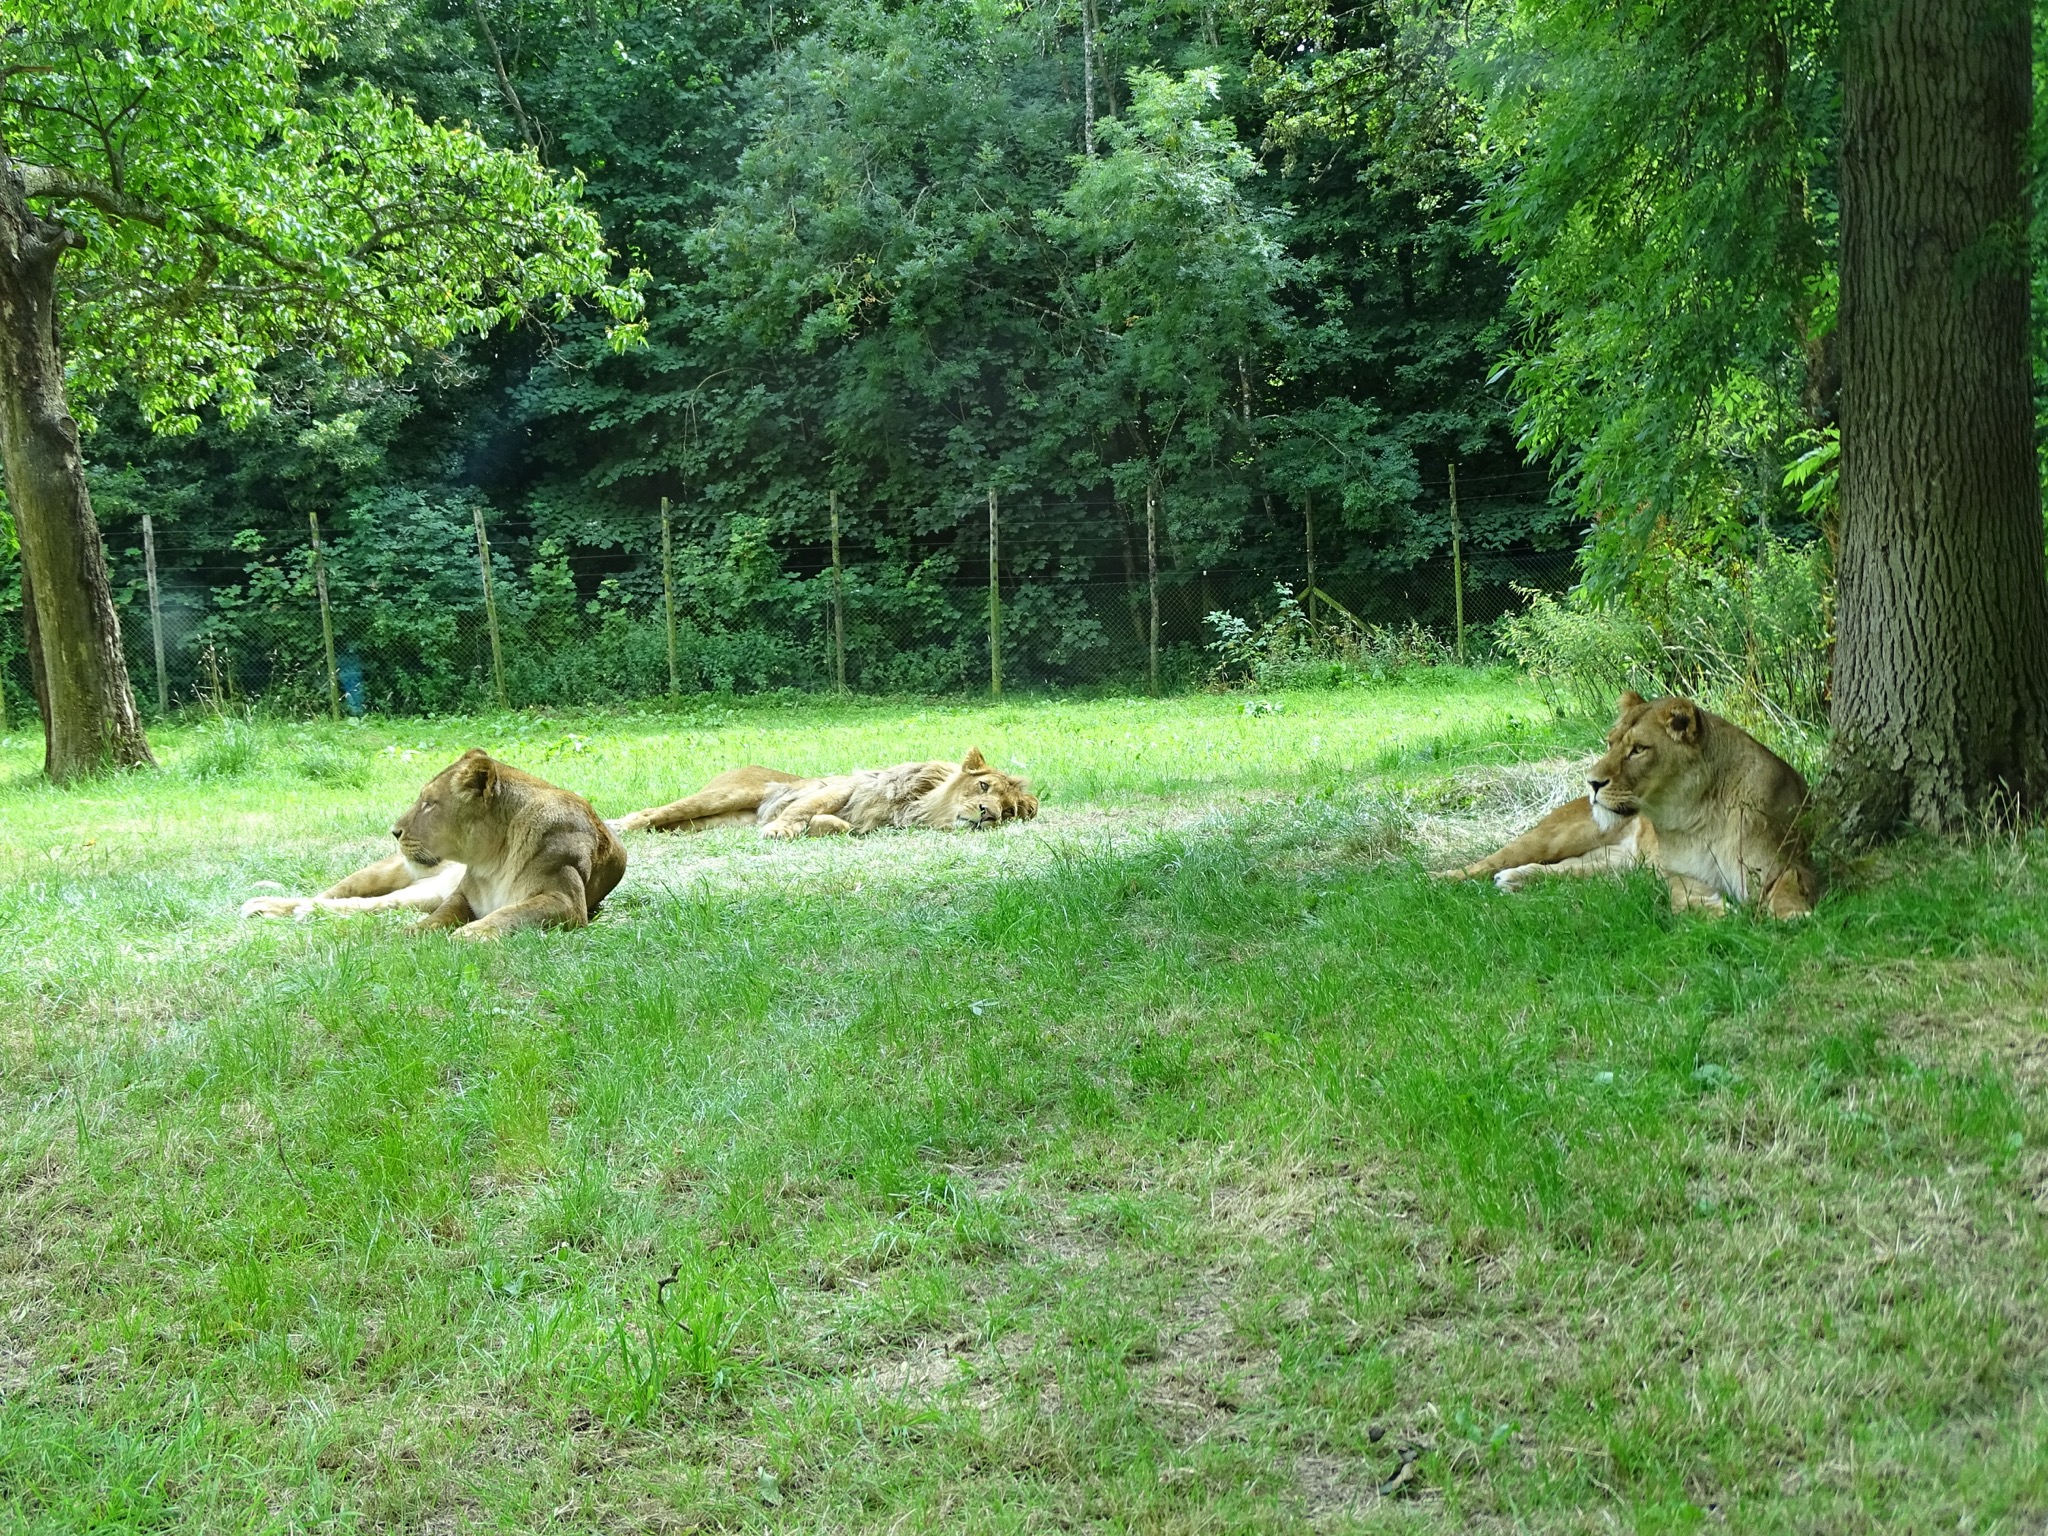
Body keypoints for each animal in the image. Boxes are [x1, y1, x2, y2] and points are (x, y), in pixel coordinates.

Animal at [242, 749, 626, 939]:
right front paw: (417, 932)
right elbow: (441, 917)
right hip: (387, 875)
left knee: (370, 905)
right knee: (333, 894)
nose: (394, 831)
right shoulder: (461, 894)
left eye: (428, 803)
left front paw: (469, 935)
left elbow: (511, 913)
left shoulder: (565, 901)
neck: (493, 860)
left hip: (418, 894)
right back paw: (266, 905)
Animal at [1439, 692, 1818, 918]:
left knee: (1566, 869)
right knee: (1489, 861)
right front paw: (1718, 912)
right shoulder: (1680, 875)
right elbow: (1684, 899)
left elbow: (1787, 886)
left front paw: (1792, 915)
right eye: (1610, 743)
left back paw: (1516, 879)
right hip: (1554, 837)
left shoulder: (1787, 861)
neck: (1697, 814)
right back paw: (1437, 879)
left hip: (1616, 864)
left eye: (1638, 749)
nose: (1592, 782)